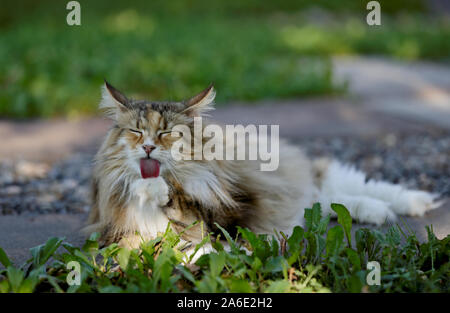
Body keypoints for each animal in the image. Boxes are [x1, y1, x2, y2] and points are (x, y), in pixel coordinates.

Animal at [83, 81, 440, 256]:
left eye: (167, 133)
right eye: (137, 131)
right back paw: (379, 212)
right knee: (328, 200)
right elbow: (136, 246)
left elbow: (184, 210)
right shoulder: (118, 231)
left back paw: (413, 203)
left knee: (347, 185)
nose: (147, 147)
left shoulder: (223, 217)